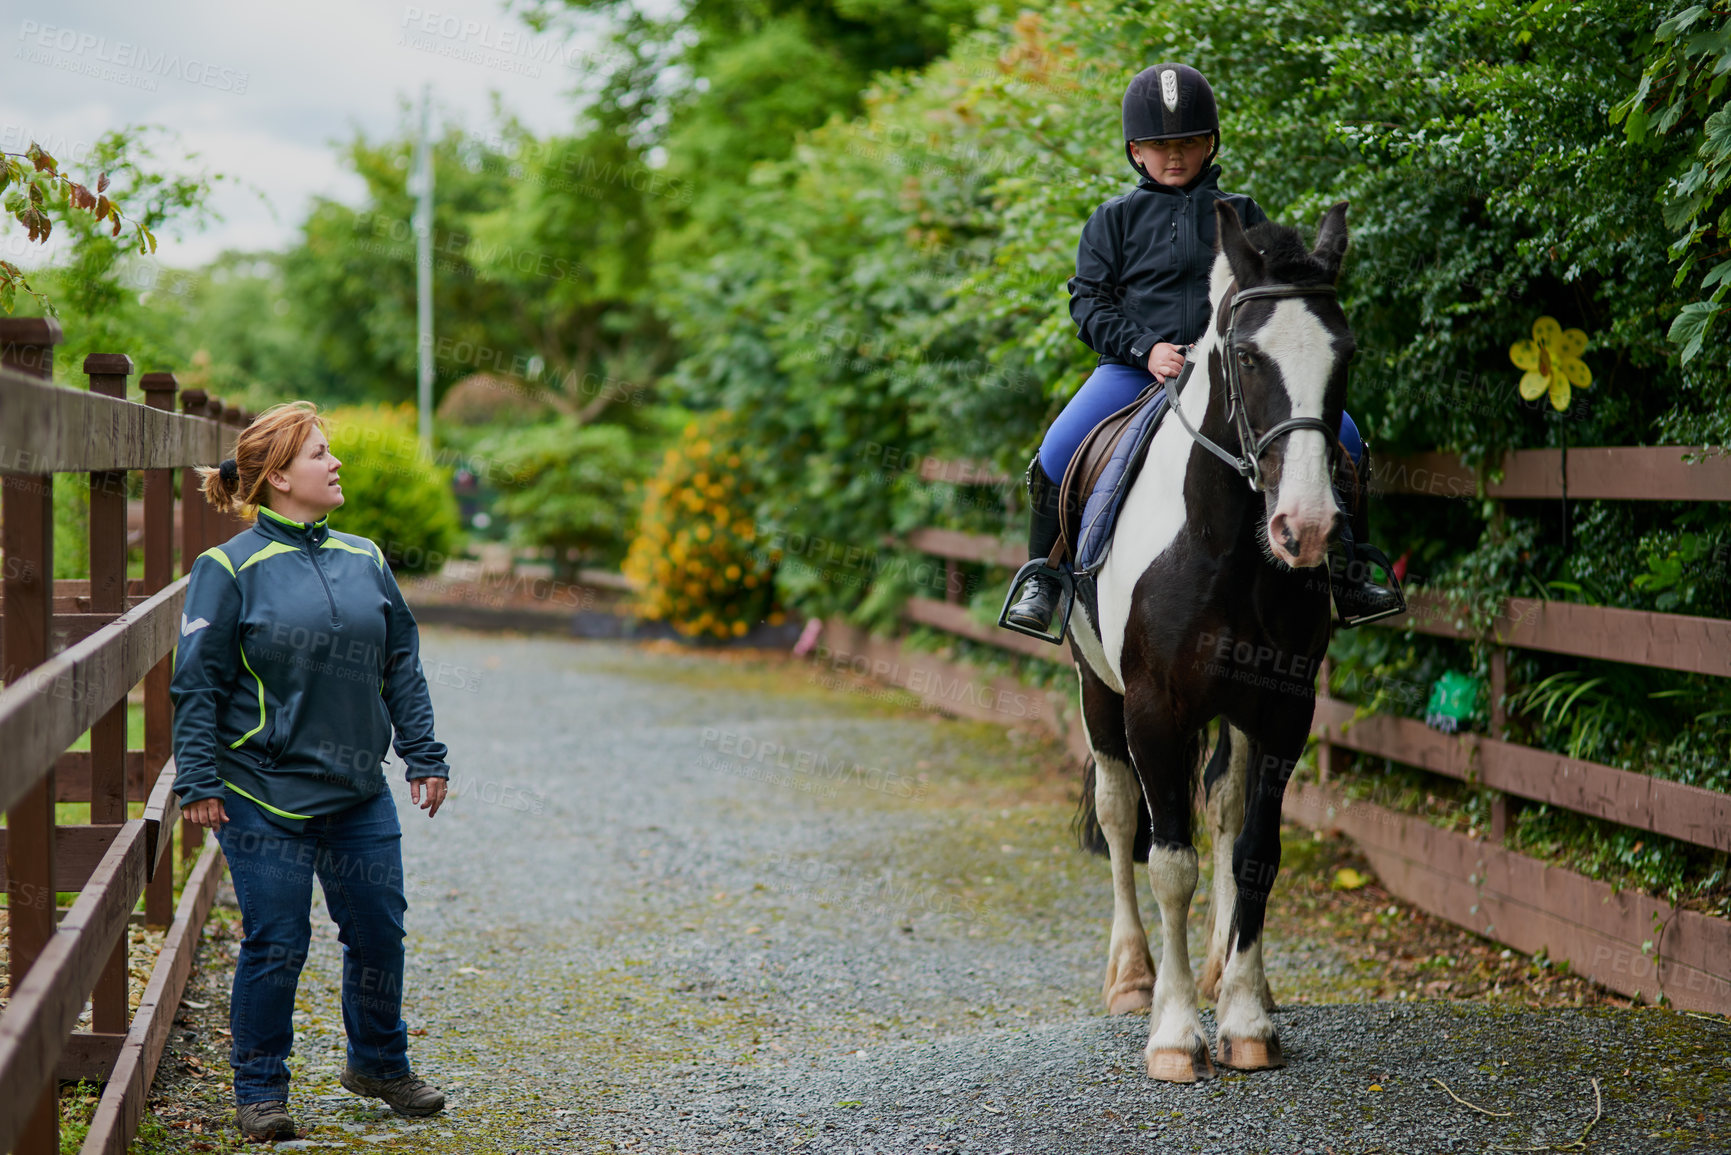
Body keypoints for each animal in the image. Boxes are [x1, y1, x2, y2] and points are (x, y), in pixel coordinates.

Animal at [1066, 196, 1350, 1087]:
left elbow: (1255, 849)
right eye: (1247, 356)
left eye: (1345, 354)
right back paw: (1130, 976)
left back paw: (1224, 970)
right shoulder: (1154, 709)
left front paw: (1246, 1017)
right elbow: (1169, 860)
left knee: (1223, 807)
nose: (1304, 528)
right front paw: (1172, 1032)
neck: (1221, 543)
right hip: (1097, 693)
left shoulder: (1284, 706)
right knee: (1119, 810)